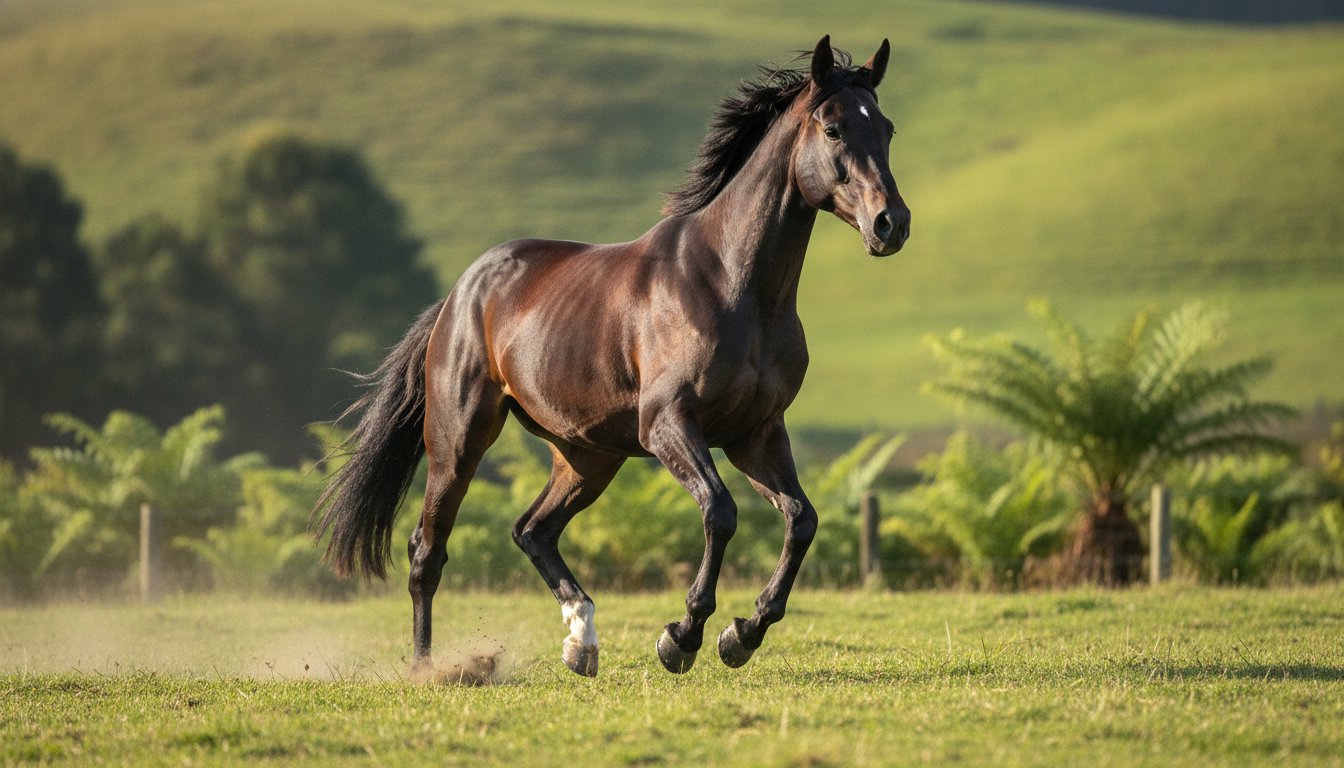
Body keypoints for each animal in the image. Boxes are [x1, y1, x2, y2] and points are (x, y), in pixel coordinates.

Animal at [312, 35, 910, 678]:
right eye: (833, 128)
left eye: (887, 129)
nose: (891, 223)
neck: (733, 285)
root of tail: (456, 297)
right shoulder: (668, 424)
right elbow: (720, 512)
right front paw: (682, 637)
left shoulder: (756, 433)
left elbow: (801, 519)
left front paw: (741, 634)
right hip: (459, 441)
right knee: (429, 549)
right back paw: (429, 669)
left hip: (588, 456)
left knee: (533, 531)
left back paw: (582, 641)